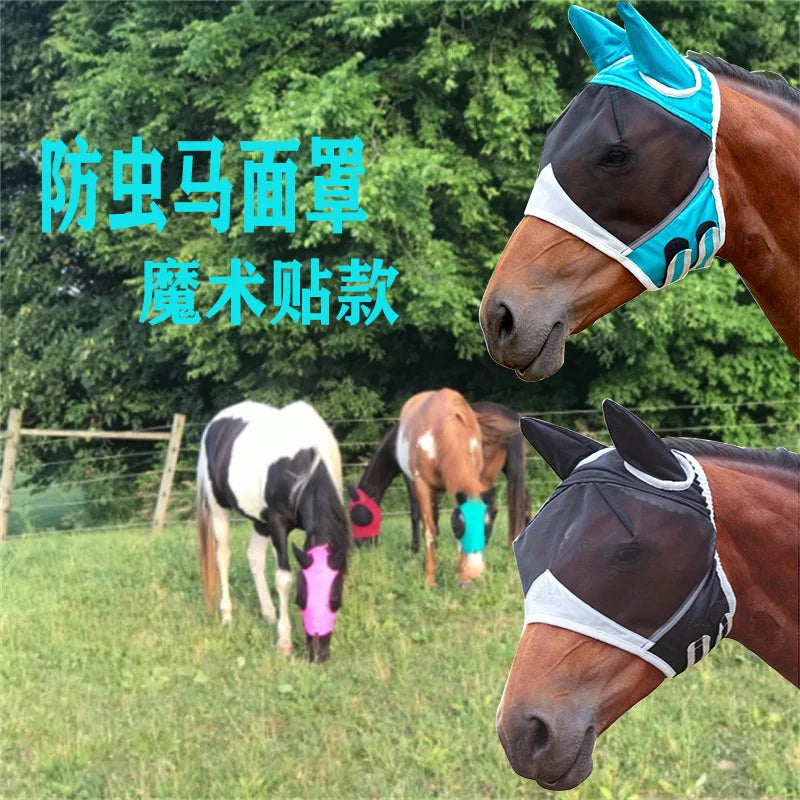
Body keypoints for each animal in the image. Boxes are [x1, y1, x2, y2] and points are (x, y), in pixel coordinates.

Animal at [196, 400, 350, 663]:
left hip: (260, 521)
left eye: (335, 600)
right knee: (223, 557)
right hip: (219, 509)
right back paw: (227, 615)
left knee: (254, 557)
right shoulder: (278, 524)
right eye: (301, 600)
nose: (317, 655)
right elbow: (283, 580)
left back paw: (268, 613)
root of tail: (215, 422)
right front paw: (284, 642)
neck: (306, 461)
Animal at [348, 397, 530, 551]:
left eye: (354, 516)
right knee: (523, 501)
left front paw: (416, 547)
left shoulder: (412, 479)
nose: (360, 545)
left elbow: (416, 512)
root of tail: (511, 416)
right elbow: (433, 510)